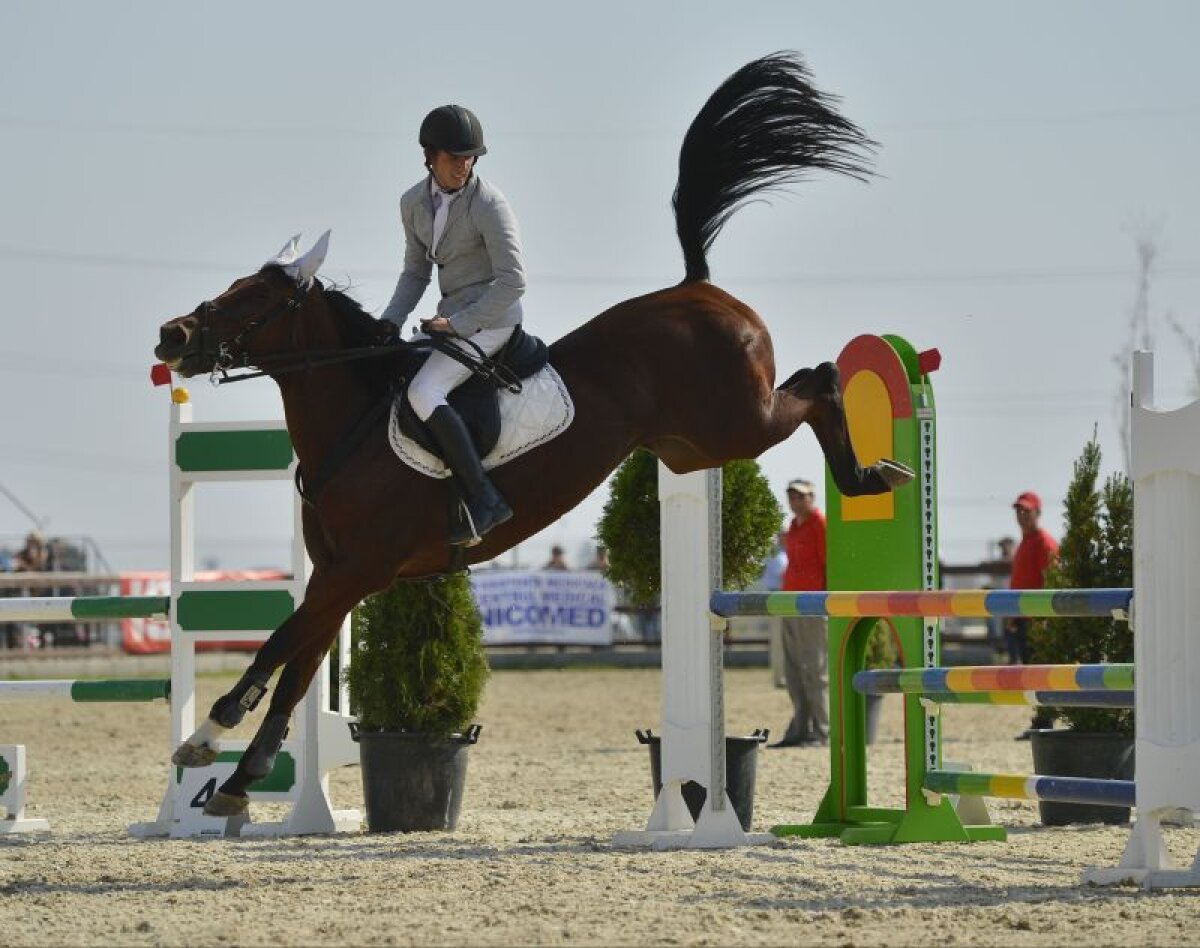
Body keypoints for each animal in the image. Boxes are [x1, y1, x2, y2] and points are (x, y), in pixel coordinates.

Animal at [154, 51, 912, 820]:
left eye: (255, 298)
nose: (172, 336)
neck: (353, 427)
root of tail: (698, 287)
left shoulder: (358, 570)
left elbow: (283, 645)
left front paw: (220, 749)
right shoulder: (336, 574)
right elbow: (294, 660)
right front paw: (226, 766)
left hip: (738, 423)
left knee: (820, 379)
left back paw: (869, 476)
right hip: (696, 444)